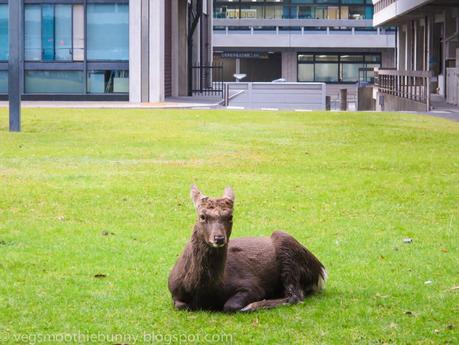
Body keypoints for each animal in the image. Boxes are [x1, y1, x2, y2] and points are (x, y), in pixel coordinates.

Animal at [168, 185, 328, 312]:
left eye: (230, 216)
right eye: (202, 216)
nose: (219, 238)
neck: (204, 292)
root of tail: (321, 271)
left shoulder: (252, 285)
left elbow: (230, 305)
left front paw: (250, 304)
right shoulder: (173, 292)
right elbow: (181, 305)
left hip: (288, 249)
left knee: (294, 296)